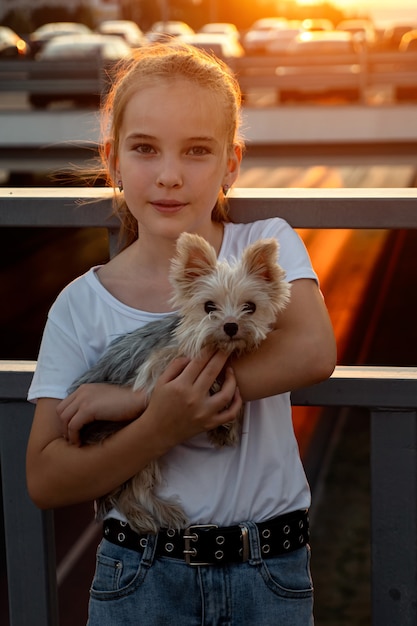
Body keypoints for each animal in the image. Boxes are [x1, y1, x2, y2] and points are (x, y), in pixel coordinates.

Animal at [70, 230, 290, 532]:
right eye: (209, 307)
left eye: (250, 307)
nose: (231, 326)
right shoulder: (162, 363)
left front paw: (227, 427)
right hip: (133, 444)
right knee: (135, 488)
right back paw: (156, 514)